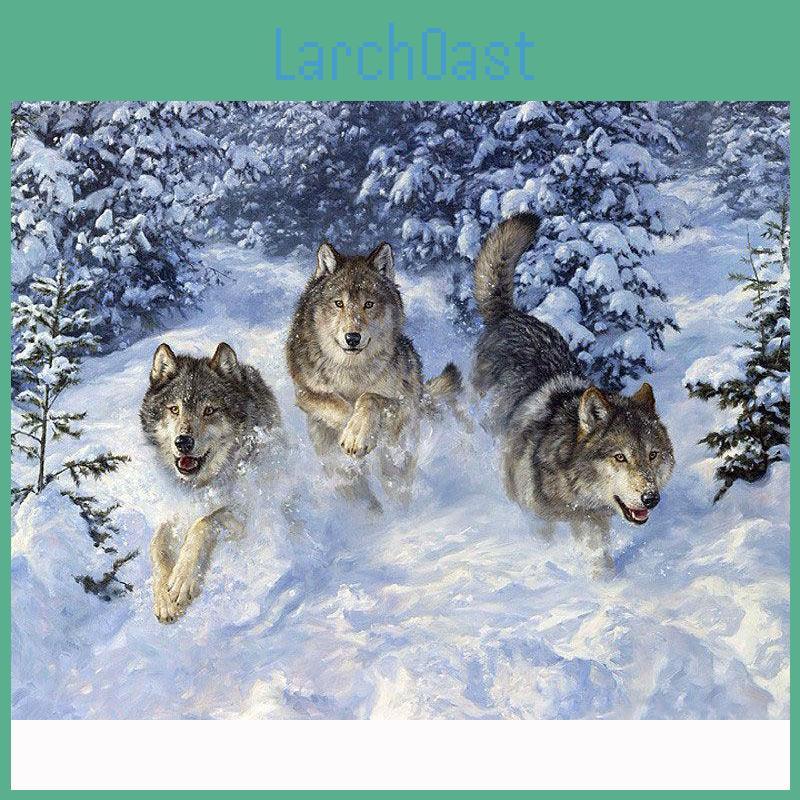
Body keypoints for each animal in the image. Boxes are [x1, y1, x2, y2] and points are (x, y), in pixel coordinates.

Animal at [140, 341, 281, 622]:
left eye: (209, 410)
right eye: (174, 409)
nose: (183, 442)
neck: (200, 485)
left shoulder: (243, 513)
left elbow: (203, 522)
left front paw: (182, 580)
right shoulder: (175, 511)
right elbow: (156, 546)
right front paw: (164, 598)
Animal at [286, 240, 462, 508]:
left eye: (368, 304)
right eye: (339, 304)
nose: (352, 337)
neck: (352, 370)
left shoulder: (404, 402)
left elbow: (370, 397)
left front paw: (358, 434)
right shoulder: (306, 393)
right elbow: (338, 405)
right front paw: (352, 432)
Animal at [473, 214, 675, 571]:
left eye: (652, 455)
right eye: (620, 457)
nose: (651, 497)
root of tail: (509, 314)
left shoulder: (591, 519)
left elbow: (598, 557)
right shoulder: (538, 519)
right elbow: (545, 542)